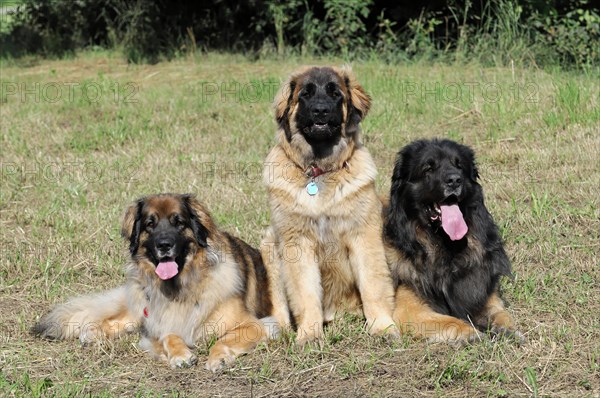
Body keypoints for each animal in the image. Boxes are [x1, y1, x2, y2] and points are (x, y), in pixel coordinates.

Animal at [36, 194, 280, 372]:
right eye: (149, 225)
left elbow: (225, 340)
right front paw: (181, 355)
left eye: (178, 222)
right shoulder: (158, 324)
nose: (164, 245)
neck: (181, 286)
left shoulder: (256, 325)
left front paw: (217, 358)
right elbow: (168, 336)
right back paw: (91, 333)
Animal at [262, 66, 398, 346]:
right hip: (269, 242)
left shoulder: (364, 235)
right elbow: (305, 293)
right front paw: (309, 334)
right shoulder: (297, 242)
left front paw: (383, 327)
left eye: (335, 94)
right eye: (305, 94)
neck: (318, 171)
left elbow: (373, 284)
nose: (321, 110)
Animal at [386, 138, 524, 344]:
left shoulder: (481, 288)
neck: (444, 245)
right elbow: (450, 321)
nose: (454, 180)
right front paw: (472, 333)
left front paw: (508, 329)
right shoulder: (409, 309)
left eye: (459, 166)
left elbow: (499, 312)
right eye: (428, 168)